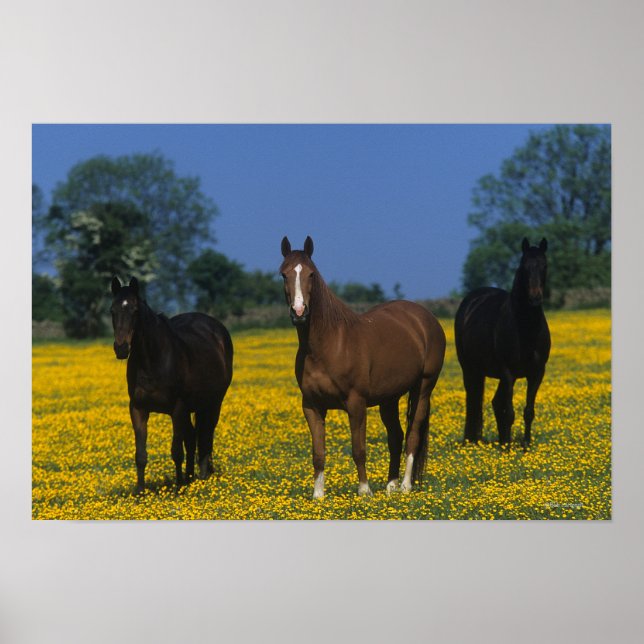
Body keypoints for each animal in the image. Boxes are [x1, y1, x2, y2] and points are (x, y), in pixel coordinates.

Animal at [110, 276, 233, 493]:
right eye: (112, 311)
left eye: (135, 310)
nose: (121, 348)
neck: (153, 359)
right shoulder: (138, 408)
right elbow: (140, 454)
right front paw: (140, 492)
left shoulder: (178, 408)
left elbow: (176, 451)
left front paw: (177, 489)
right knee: (193, 438)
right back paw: (190, 477)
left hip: (212, 404)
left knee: (206, 436)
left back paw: (202, 476)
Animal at [280, 236, 446, 498]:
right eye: (284, 274)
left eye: (311, 274)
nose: (299, 312)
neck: (327, 345)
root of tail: (425, 318)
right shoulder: (312, 406)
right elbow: (318, 453)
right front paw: (318, 496)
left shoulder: (356, 403)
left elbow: (358, 449)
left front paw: (364, 491)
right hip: (389, 398)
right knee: (396, 436)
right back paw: (391, 485)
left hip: (423, 388)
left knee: (413, 435)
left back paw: (405, 486)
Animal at [454, 237, 551, 447]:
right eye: (524, 266)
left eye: (544, 266)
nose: (535, 297)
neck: (526, 328)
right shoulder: (508, 372)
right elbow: (510, 413)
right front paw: (507, 449)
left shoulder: (536, 373)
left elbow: (528, 412)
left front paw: (525, 445)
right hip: (470, 369)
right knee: (473, 401)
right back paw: (473, 441)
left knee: (495, 403)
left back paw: (500, 440)